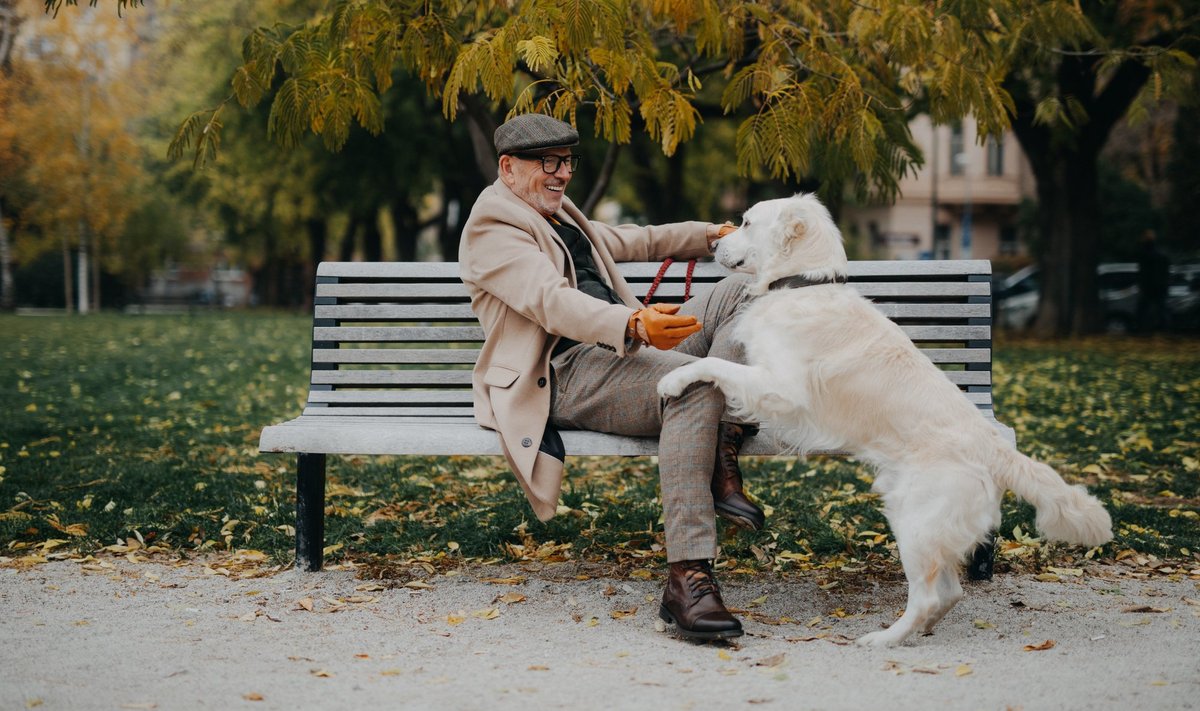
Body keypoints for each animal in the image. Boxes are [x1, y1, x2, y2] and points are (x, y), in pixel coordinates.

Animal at [662, 193, 1108, 643]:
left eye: (748, 223)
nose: (714, 245)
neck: (802, 285)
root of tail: (997, 447)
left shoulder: (784, 389)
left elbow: (715, 364)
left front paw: (672, 378)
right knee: (949, 592)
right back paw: (918, 631)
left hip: (914, 519)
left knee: (929, 595)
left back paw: (884, 639)